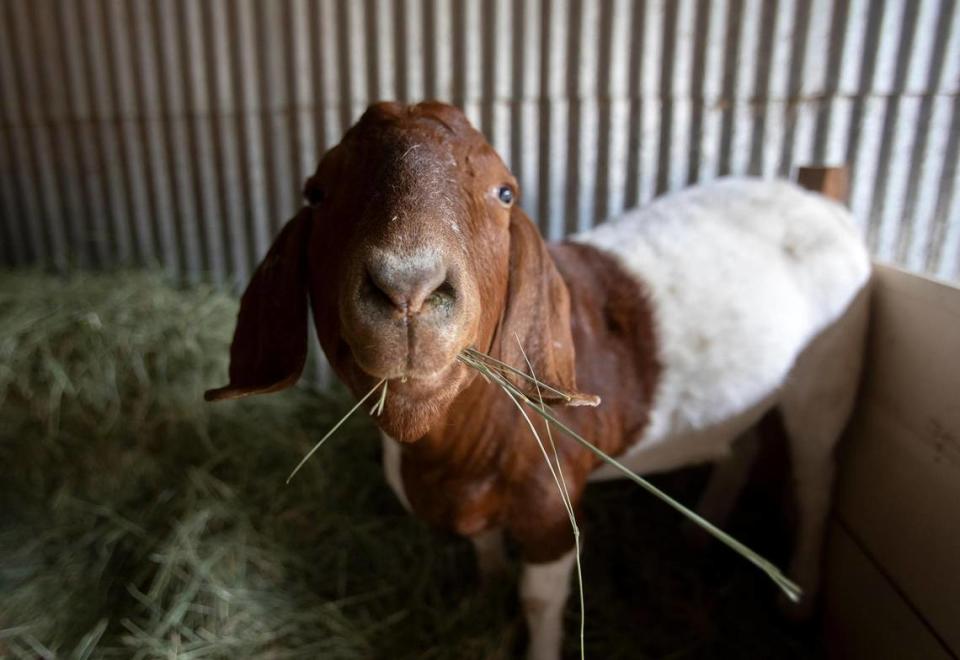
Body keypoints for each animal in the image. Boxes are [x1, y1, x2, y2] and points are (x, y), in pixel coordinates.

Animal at [206, 100, 872, 656]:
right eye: (316, 192)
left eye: (505, 192)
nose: (408, 286)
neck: (451, 450)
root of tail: (819, 198)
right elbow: (483, 549)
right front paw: (483, 595)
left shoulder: (551, 506)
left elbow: (539, 599)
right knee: (746, 443)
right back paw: (696, 536)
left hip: (828, 378)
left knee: (817, 478)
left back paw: (798, 598)